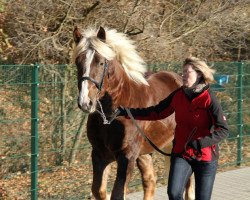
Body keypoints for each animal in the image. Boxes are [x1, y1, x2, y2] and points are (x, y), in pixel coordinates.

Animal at [72, 26, 193, 200]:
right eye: (78, 62)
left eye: (101, 62)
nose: (85, 102)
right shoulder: (100, 155)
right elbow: (99, 191)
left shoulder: (127, 157)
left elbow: (117, 194)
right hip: (146, 152)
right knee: (150, 181)